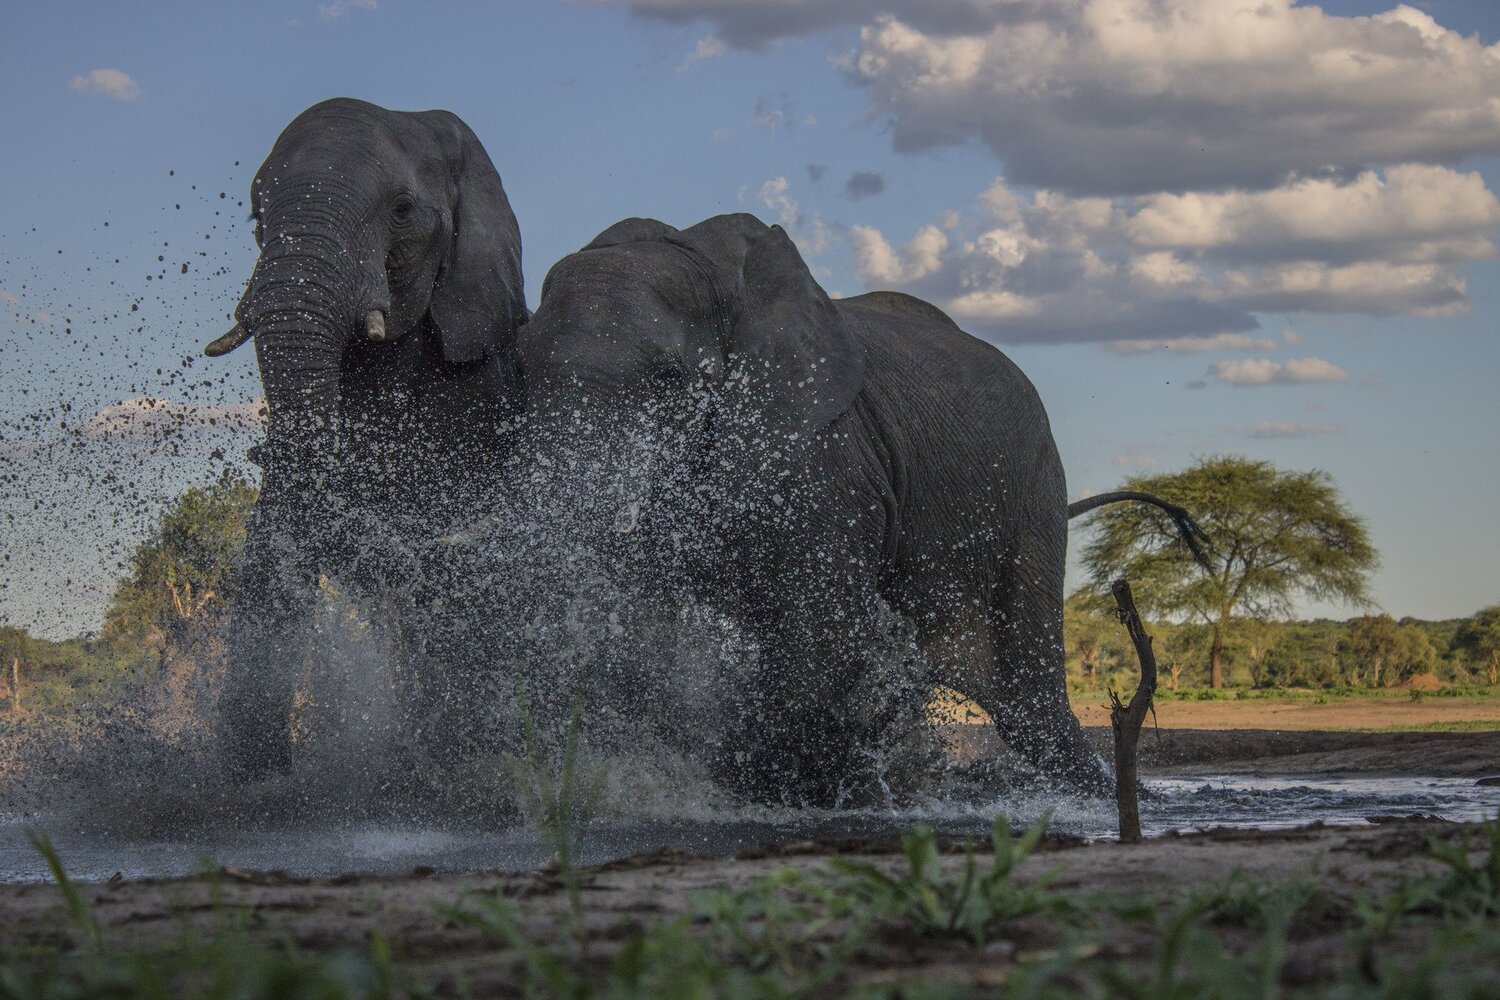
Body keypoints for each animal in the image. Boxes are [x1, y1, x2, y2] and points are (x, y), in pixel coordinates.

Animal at [203, 98, 529, 781]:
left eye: (402, 211)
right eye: (257, 217)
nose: (257, 448)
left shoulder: (477, 387)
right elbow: (273, 552)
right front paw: (249, 781)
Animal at [511, 213, 1208, 803]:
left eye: (669, 381)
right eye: (519, 369)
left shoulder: (827, 452)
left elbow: (816, 626)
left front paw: (756, 788)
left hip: (1031, 494)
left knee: (1027, 696)